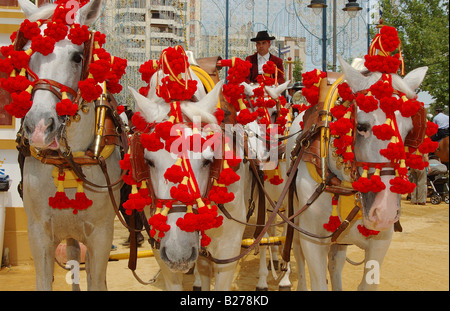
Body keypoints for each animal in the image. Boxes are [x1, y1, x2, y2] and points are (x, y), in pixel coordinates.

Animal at [17, 0, 121, 292]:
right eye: (29, 54)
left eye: (77, 56)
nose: (39, 126)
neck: (68, 160)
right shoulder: (38, 233)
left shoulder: (101, 234)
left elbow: (96, 280)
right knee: (74, 254)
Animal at [284, 55, 428, 290]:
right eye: (361, 126)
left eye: (409, 131)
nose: (384, 211)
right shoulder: (312, 240)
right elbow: (317, 280)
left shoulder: (380, 241)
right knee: (297, 252)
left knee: (336, 262)